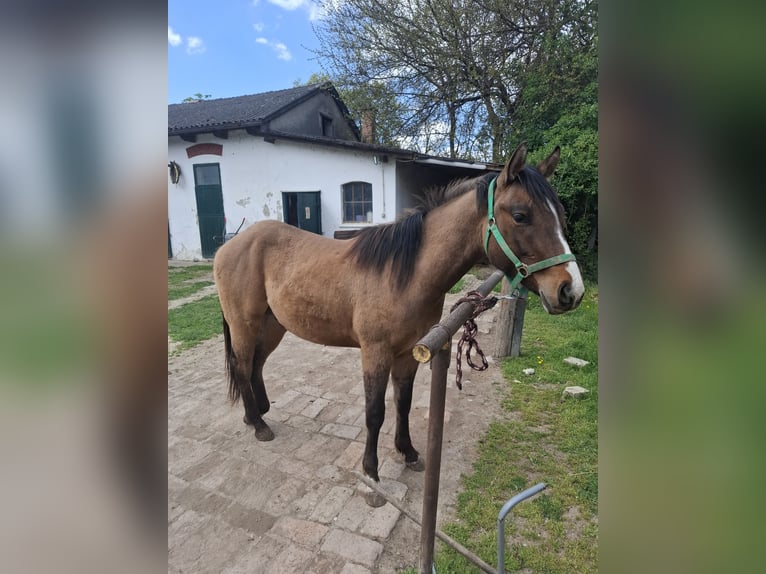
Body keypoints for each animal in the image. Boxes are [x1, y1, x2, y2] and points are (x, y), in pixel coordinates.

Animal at [213, 142, 585, 501]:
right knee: (243, 365)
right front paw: (371, 474)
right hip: (245, 324)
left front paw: (408, 453)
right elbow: (375, 413)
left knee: (256, 364)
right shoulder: (375, 353)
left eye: (561, 215)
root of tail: (231, 244)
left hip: (273, 325)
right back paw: (258, 424)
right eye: (521, 216)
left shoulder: (409, 352)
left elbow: (402, 404)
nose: (571, 291)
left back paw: (259, 412)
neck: (406, 275)